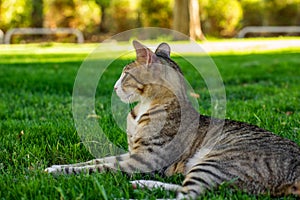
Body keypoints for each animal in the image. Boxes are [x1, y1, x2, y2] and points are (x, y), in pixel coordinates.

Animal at [45, 40, 300, 198]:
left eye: (125, 74)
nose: (115, 87)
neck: (141, 111)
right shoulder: (132, 153)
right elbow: (94, 161)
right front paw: (57, 166)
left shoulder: (145, 160)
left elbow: (98, 168)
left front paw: (57, 172)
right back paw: (142, 185)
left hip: (216, 162)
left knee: (190, 195)